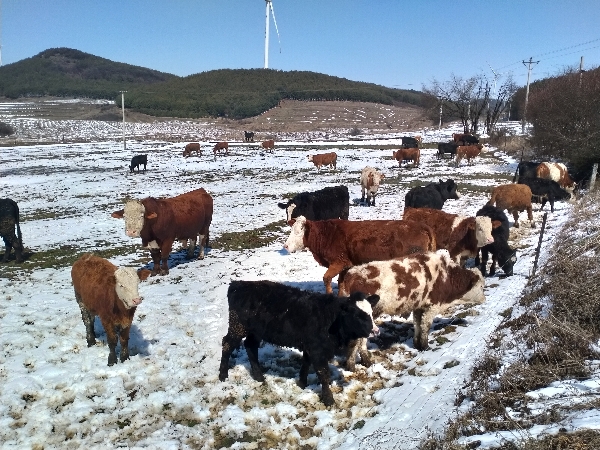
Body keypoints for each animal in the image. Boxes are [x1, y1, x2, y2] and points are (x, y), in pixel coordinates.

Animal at [220, 280, 380, 406]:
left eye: (371, 312)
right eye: (358, 315)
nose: (376, 331)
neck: (331, 319)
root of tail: (238, 284)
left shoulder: (310, 346)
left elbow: (306, 363)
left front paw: (302, 383)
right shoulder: (317, 349)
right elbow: (323, 374)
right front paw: (329, 399)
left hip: (255, 330)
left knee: (250, 346)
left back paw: (259, 377)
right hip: (238, 326)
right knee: (227, 344)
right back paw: (223, 375)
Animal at [284, 215, 436, 296]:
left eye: (298, 231)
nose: (285, 246)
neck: (327, 235)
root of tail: (421, 226)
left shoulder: (338, 262)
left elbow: (326, 278)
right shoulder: (345, 265)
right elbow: (341, 282)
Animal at [340, 250, 486, 370]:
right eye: (481, 286)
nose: (484, 299)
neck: (445, 275)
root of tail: (350, 275)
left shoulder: (419, 307)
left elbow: (417, 324)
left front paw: (417, 344)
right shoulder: (432, 307)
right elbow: (426, 326)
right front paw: (425, 346)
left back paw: (365, 361)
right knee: (355, 341)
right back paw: (353, 365)